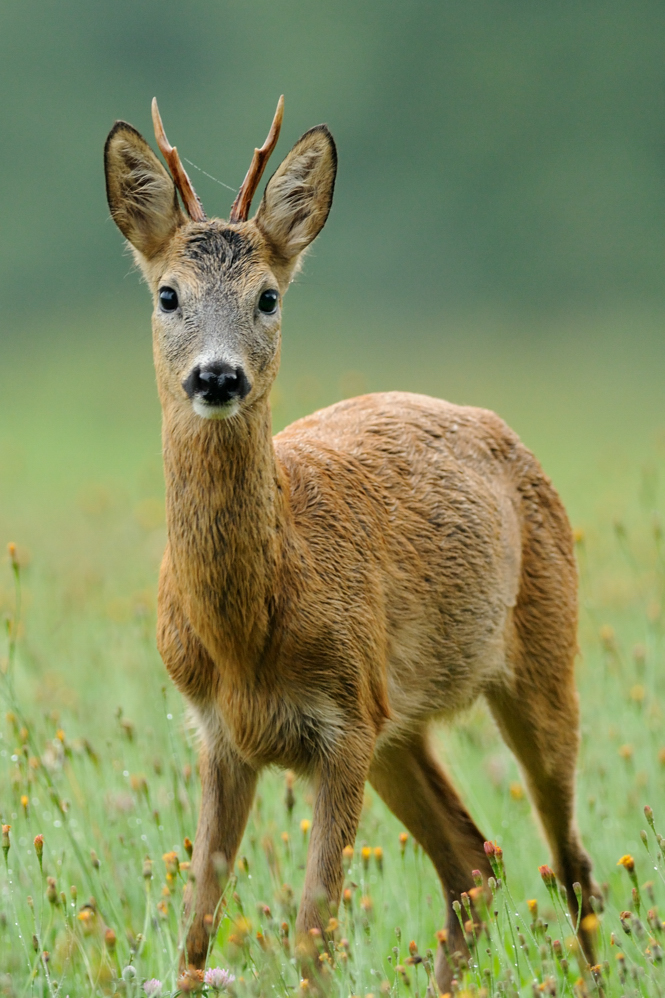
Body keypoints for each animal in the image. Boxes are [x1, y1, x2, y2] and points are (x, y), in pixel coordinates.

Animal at [105, 95, 596, 992]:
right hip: (400, 722)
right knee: (473, 861)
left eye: (268, 296)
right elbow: (195, 929)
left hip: (542, 659)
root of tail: (506, 433)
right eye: (167, 295)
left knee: (570, 863)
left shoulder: (342, 729)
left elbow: (313, 929)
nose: (217, 377)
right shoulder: (222, 734)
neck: (247, 629)